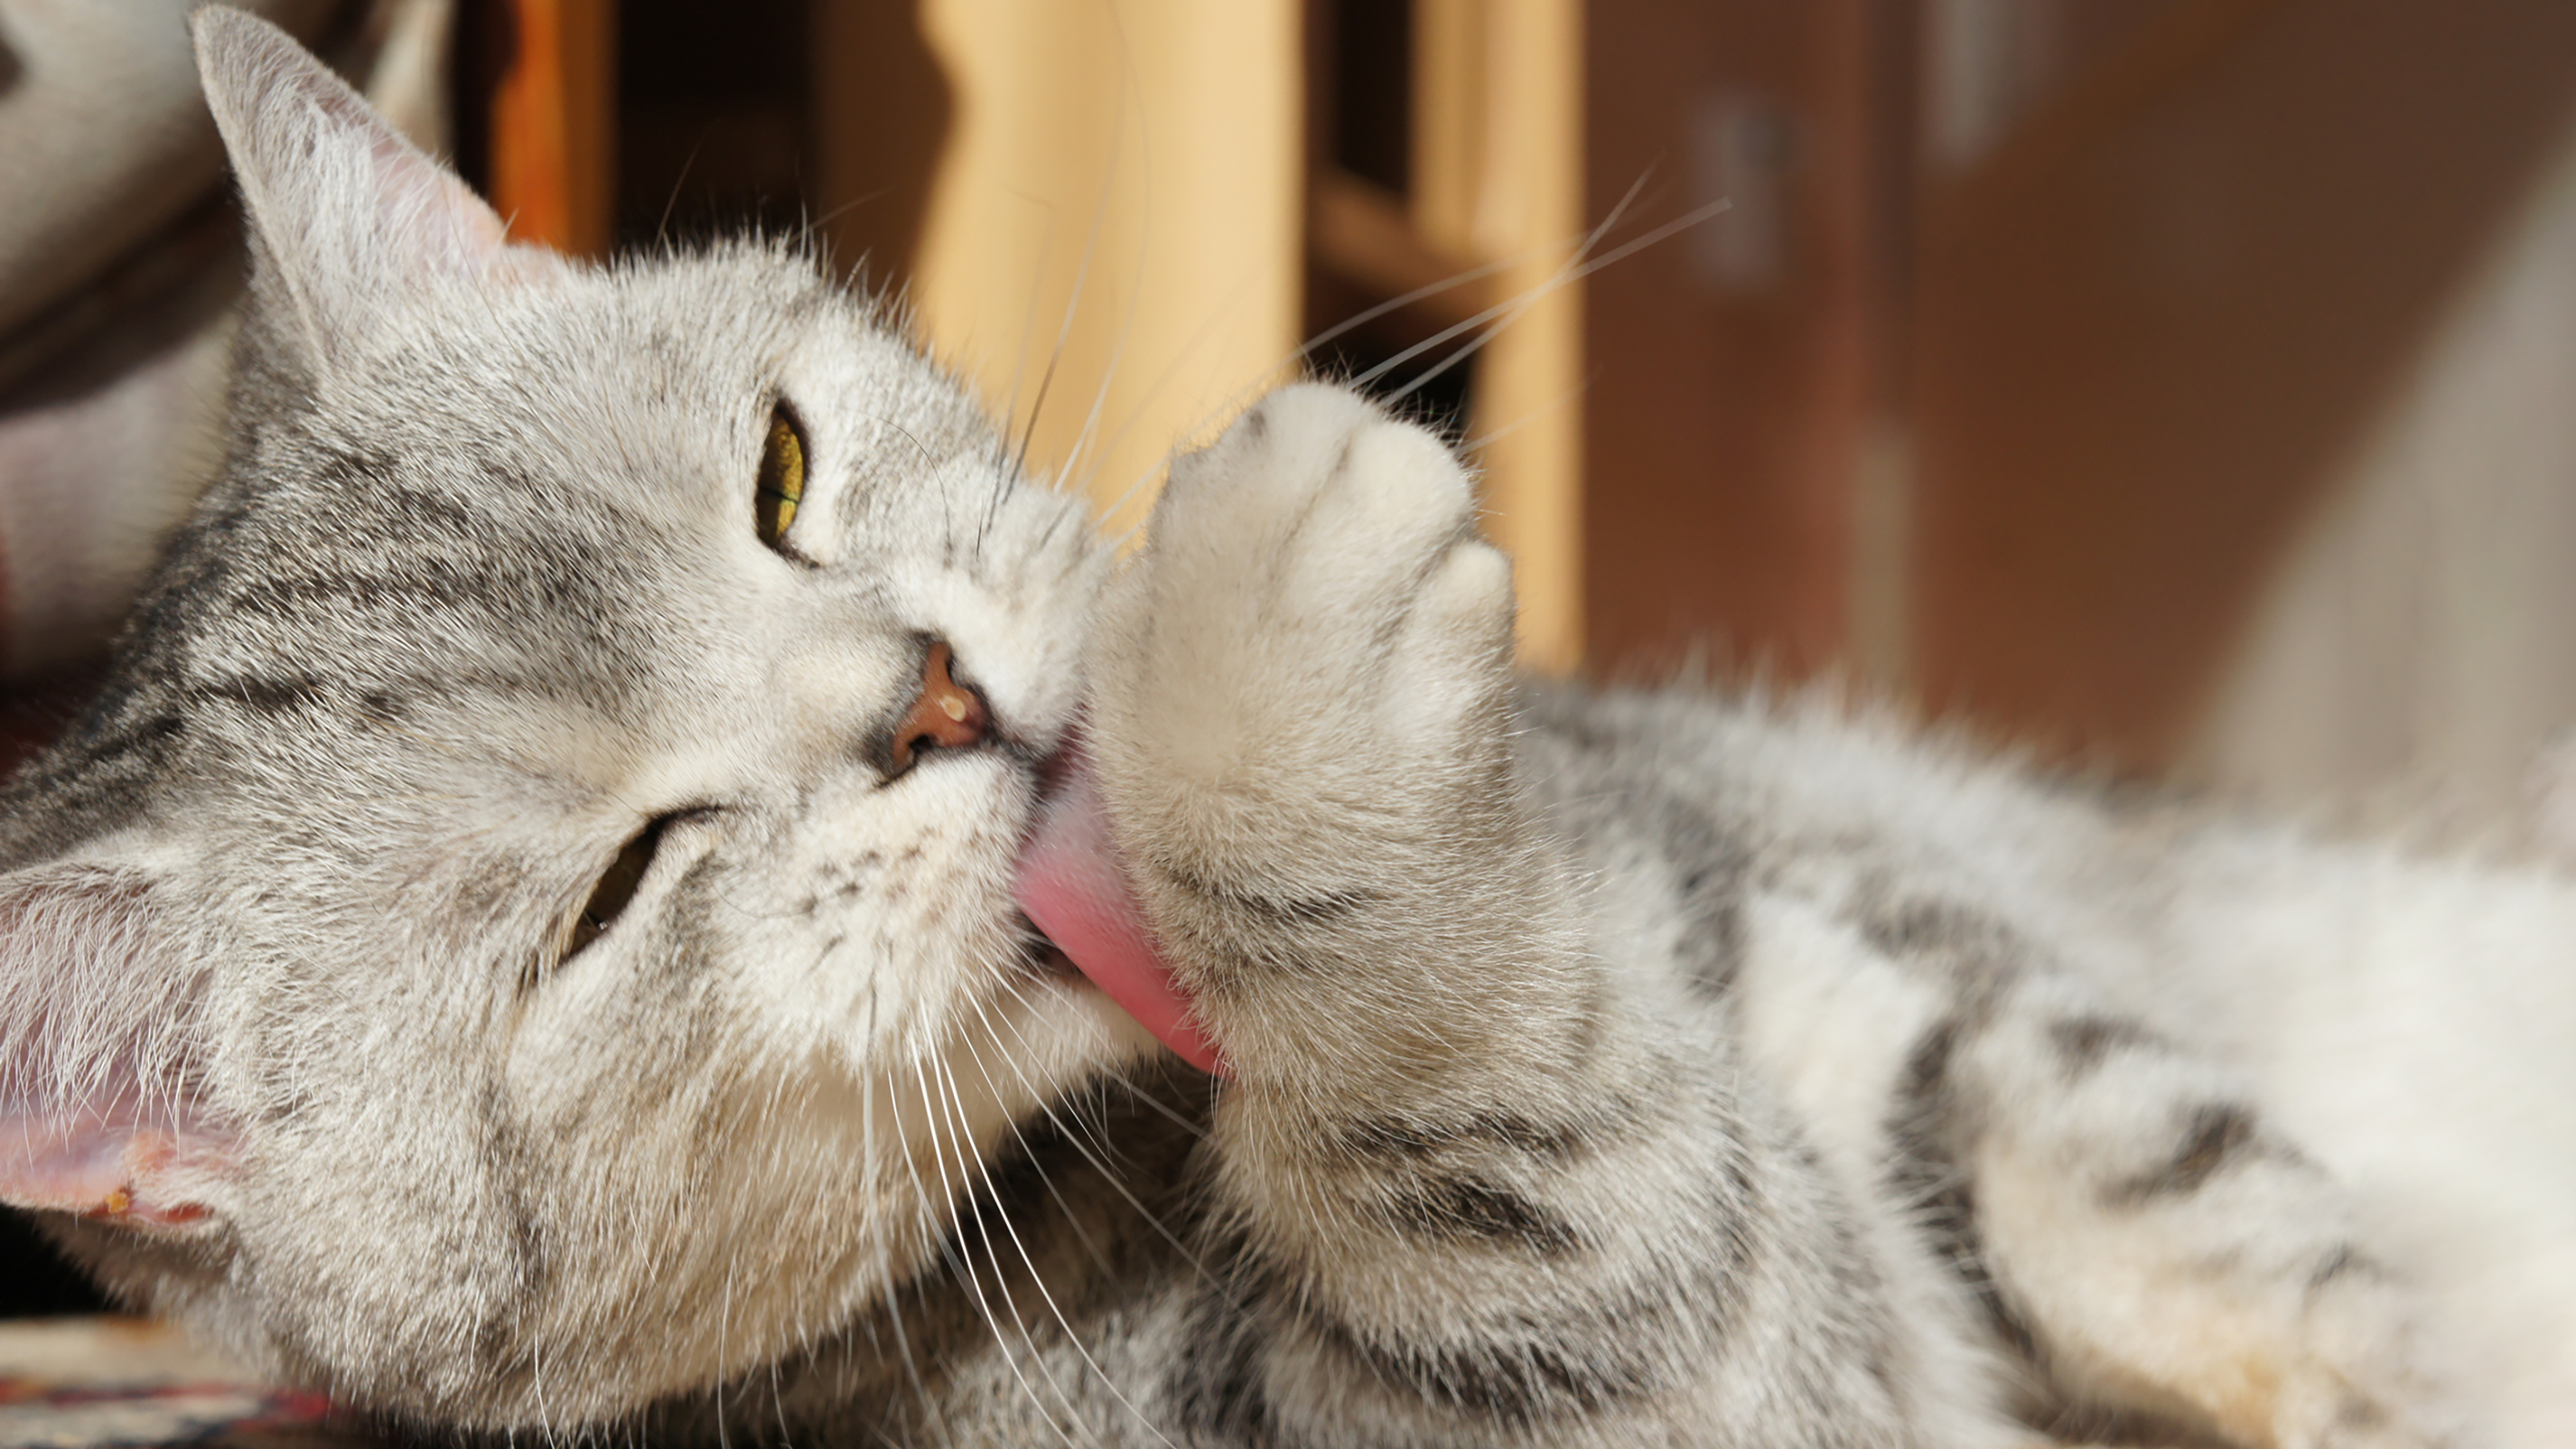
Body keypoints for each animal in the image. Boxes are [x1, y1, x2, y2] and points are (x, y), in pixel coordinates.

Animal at [5, 8, 2576, 1433]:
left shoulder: (1837, 889)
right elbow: (1539, 1154)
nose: (932, 700)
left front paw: (2351, 1359)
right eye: (614, 898)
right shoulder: (1660, 1369)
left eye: (780, 474)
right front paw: (1286, 722)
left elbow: (2134, 1142)